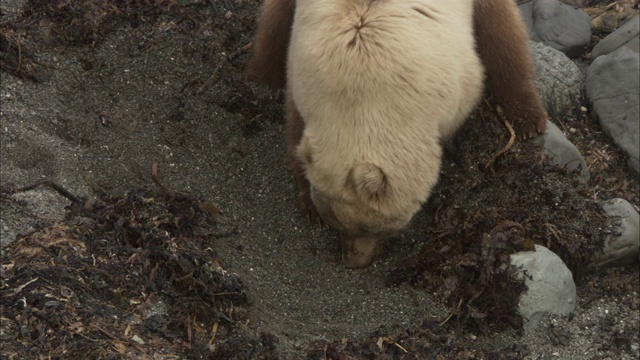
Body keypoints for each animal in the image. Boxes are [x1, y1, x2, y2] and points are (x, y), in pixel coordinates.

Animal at [248, 0, 548, 268]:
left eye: (372, 228)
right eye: (336, 223)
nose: (353, 263)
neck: (365, 94)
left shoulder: (458, 83)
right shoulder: (307, 82)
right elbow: (296, 131)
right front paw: (307, 202)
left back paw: (528, 120)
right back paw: (263, 77)